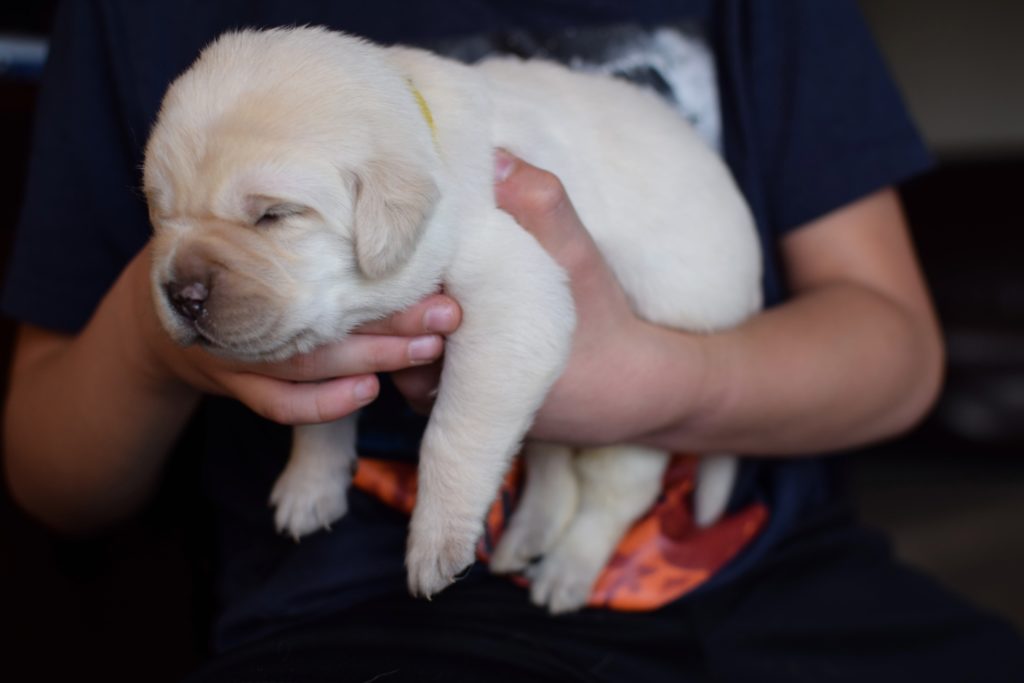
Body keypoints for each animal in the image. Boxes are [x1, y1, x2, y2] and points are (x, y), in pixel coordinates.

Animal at [148, 29, 765, 610]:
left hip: (643, 396)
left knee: (615, 495)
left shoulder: (513, 287)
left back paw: (566, 569)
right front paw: (309, 484)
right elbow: (322, 413)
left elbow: (453, 434)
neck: (424, 128)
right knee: (552, 464)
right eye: (160, 213)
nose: (182, 294)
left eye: (274, 215)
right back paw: (526, 535)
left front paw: (435, 544)